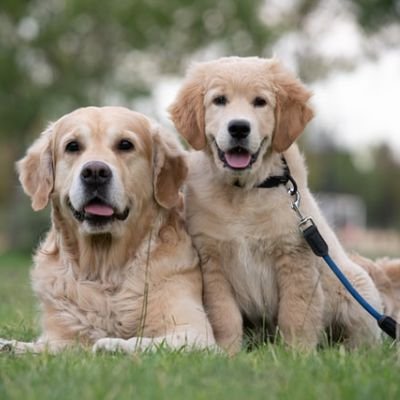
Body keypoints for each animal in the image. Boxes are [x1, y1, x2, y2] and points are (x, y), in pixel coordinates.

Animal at [0, 105, 216, 354]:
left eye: (125, 144)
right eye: (72, 146)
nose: (95, 172)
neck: (103, 269)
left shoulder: (196, 333)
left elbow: (143, 342)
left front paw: (111, 343)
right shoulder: (60, 337)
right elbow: (44, 347)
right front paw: (10, 345)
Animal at [169, 57, 382, 354]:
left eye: (260, 102)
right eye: (219, 100)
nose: (239, 128)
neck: (245, 191)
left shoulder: (295, 257)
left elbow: (296, 314)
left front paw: (297, 355)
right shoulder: (212, 261)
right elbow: (224, 316)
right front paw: (228, 354)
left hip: (357, 288)